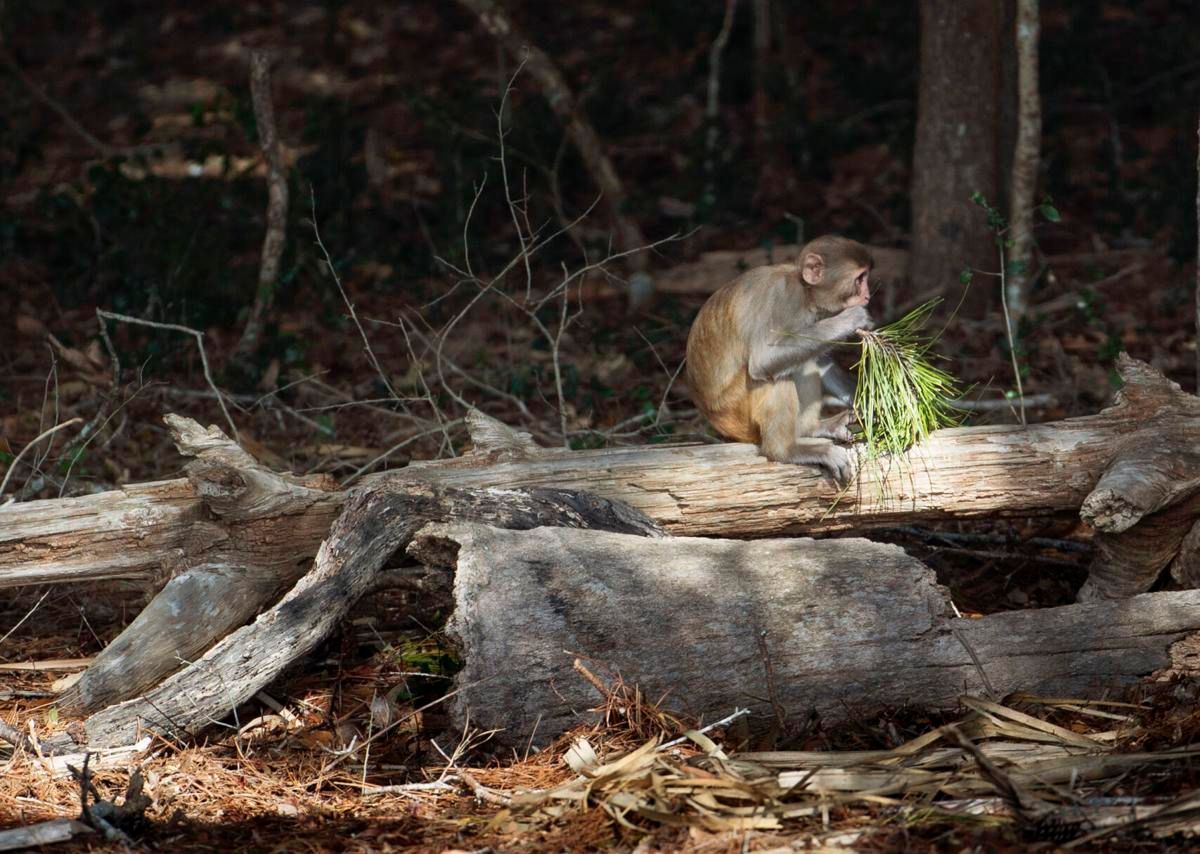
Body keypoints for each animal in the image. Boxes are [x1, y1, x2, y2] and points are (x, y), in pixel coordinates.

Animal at [685, 235, 874, 482]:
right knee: (771, 376)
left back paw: (811, 428)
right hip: (734, 413)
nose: (867, 296)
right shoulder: (783, 298)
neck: (805, 293)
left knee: (803, 363)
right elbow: (764, 360)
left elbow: (819, 358)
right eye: (860, 279)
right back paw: (786, 450)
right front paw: (851, 320)